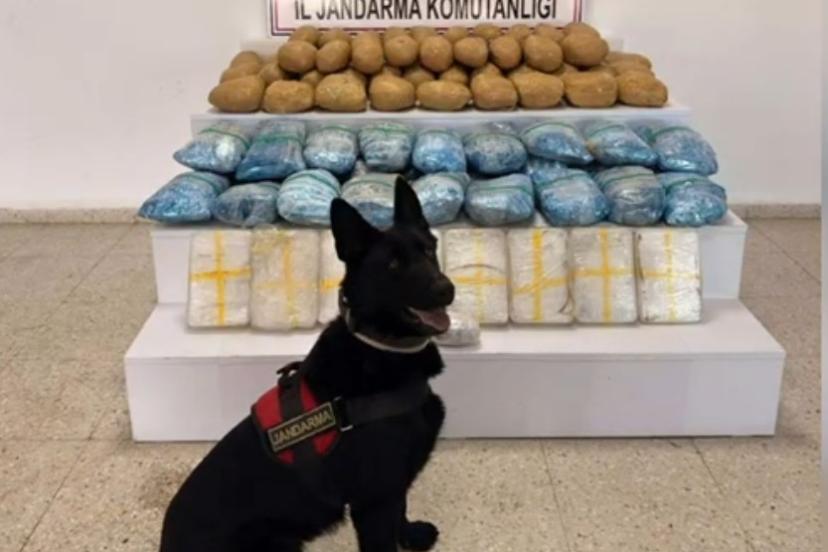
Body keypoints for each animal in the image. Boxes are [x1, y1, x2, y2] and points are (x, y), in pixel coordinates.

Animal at [160, 178, 455, 552]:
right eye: (392, 265)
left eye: (429, 250)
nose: (447, 289)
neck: (377, 346)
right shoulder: (374, 500)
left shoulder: (391, 486)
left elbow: (401, 509)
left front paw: (409, 534)